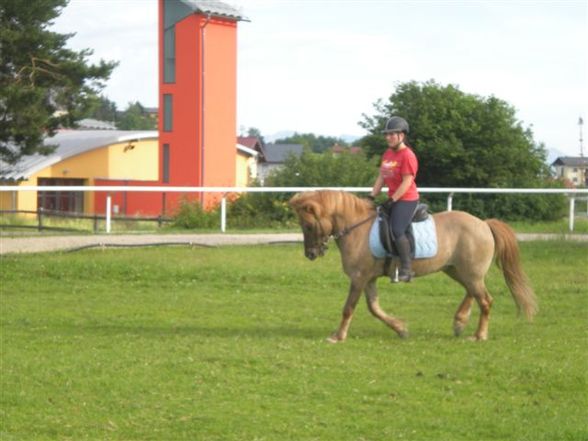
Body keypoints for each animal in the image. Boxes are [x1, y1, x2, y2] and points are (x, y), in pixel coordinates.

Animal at [290, 187, 536, 342]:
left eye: (308, 226)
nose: (310, 254)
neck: (357, 228)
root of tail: (484, 224)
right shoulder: (368, 279)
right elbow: (374, 308)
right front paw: (401, 329)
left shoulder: (359, 278)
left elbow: (348, 308)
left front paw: (338, 336)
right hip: (457, 270)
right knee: (472, 292)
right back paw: (459, 321)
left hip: (469, 273)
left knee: (485, 300)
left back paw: (478, 335)